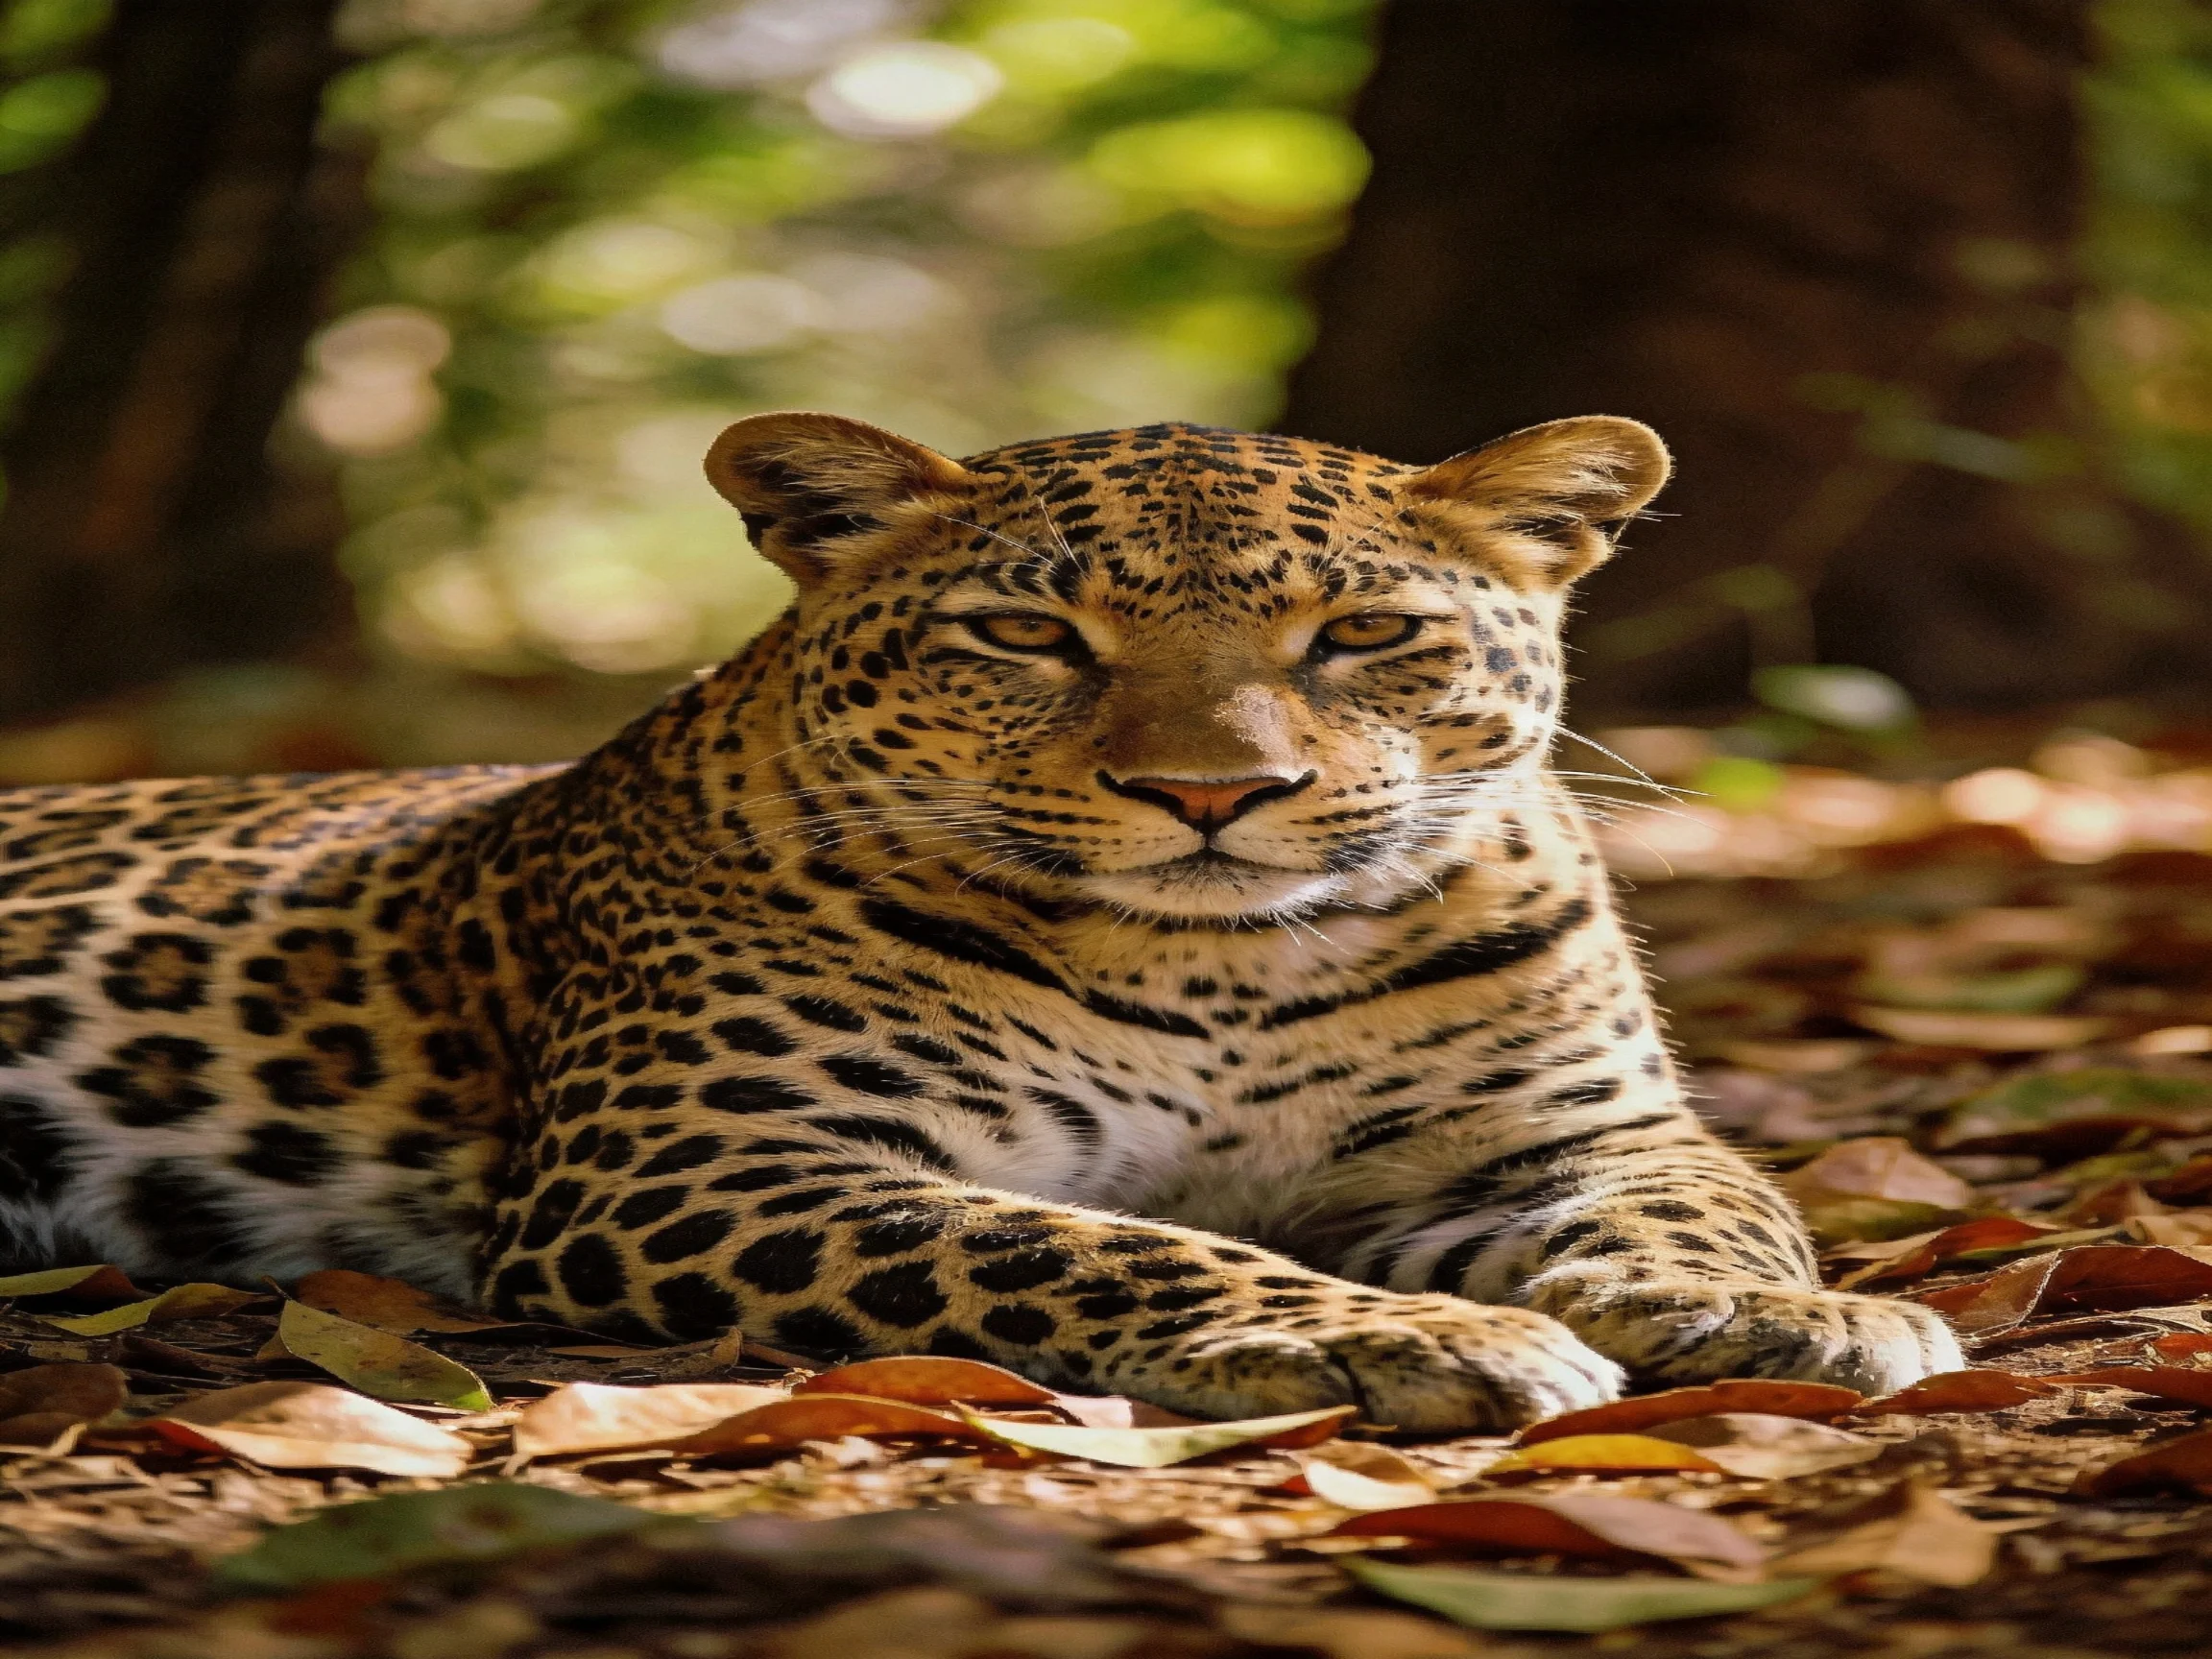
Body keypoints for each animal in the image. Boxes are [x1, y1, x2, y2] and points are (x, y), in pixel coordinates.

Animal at [0, 412, 1963, 1429]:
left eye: (1360, 634)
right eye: (1028, 635)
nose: (1210, 795)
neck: (1226, 968)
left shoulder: (1577, 1132)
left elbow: (1717, 1200)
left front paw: (1767, 1312)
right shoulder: (711, 1163)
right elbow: (1080, 1240)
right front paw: (1394, 1335)